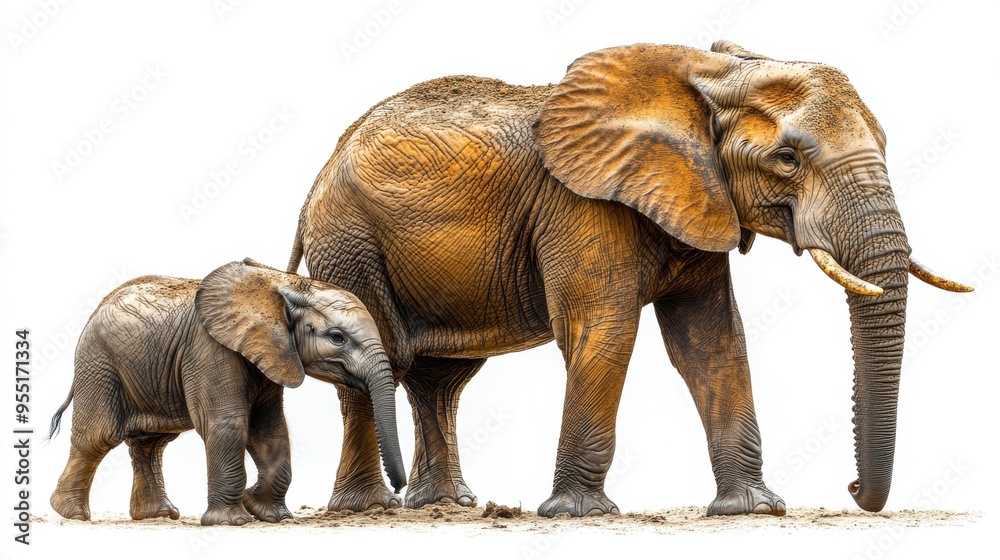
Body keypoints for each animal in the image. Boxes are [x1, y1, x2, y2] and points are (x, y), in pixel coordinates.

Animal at [48, 258, 406, 525]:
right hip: (99, 365)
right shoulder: (209, 349)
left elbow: (271, 431)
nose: (399, 495)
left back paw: (158, 515)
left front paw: (268, 513)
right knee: (98, 436)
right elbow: (228, 425)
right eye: (337, 337)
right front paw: (233, 521)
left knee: (152, 442)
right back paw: (72, 514)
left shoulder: (271, 356)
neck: (283, 283)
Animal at [286, 41, 971, 517]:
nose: (853, 489)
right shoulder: (582, 205)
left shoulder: (699, 202)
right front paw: (577, 515)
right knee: (379, 359)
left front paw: (752, 510)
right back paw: (368, 510)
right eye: (787, 159)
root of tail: (319, 173)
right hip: (349, 239)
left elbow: (712, 344)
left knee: (440, 378)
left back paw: (444, 506)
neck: (706, 75)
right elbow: (604, 332)